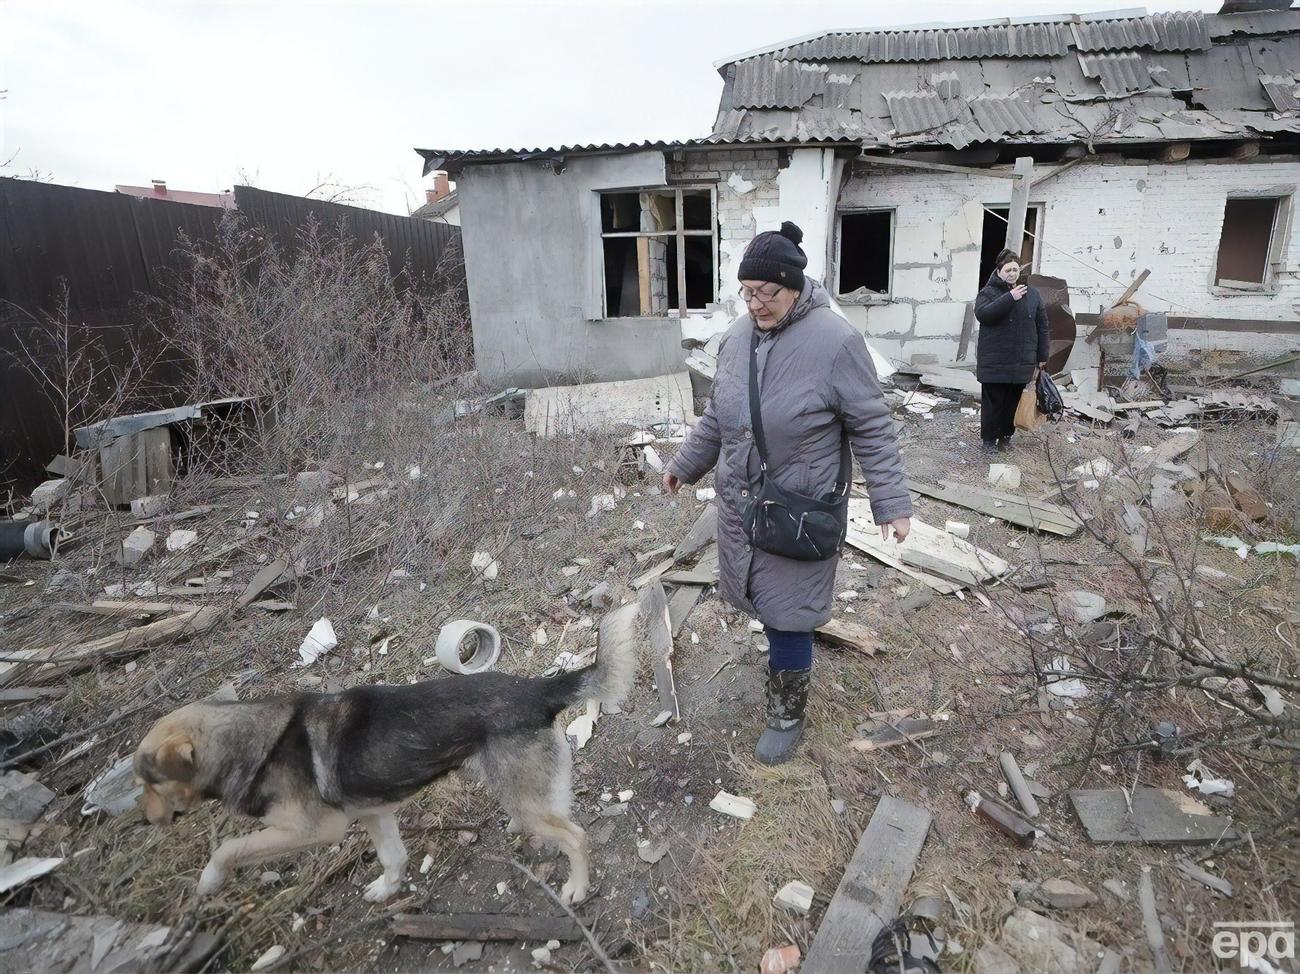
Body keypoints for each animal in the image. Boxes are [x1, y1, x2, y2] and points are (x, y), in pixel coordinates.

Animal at [133, 616, 639, 905]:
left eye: (150, 782)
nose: (144, 822)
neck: (249, 741)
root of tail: (537, 688)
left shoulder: (314, 830)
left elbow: (230, 848)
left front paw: (209, 880)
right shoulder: (375, 813)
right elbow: (392, 857)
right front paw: (387, 889)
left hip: (531, 800)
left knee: (576, 836)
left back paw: (576, 887)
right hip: (524, 788)